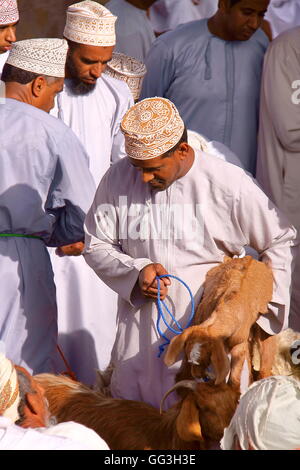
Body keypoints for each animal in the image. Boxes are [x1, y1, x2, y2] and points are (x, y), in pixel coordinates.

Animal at [165, 258, 274, 390]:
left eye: (206, 360)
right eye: (190, 359)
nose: (196, 375)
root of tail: (251, 258)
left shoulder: (240, 342)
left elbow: (235, 375)